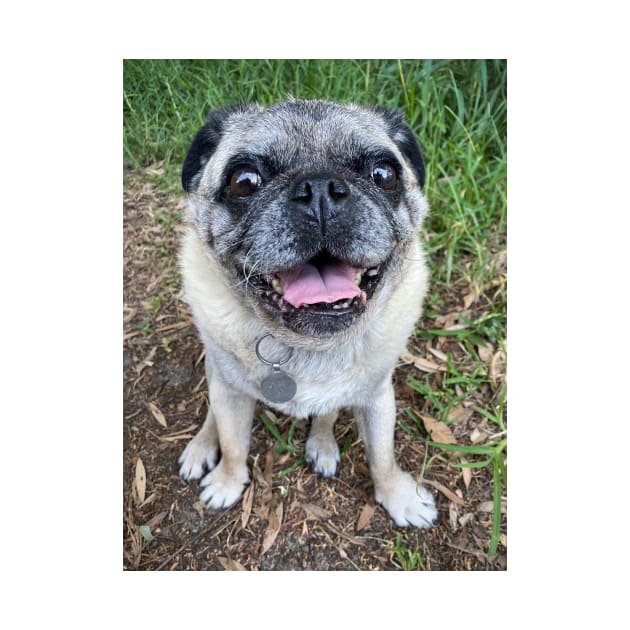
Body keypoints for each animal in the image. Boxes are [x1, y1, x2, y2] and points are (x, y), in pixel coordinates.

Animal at [175, 101, 436, 532]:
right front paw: (227, 482)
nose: (319, 189)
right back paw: (201, 446)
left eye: (384, 175)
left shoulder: (378, 397)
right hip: (218, 373)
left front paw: (400, 497)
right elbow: (233, 444)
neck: (307, 344)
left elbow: (383, 456)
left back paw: (322, 444)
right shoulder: (229, 392)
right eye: (244, 181)